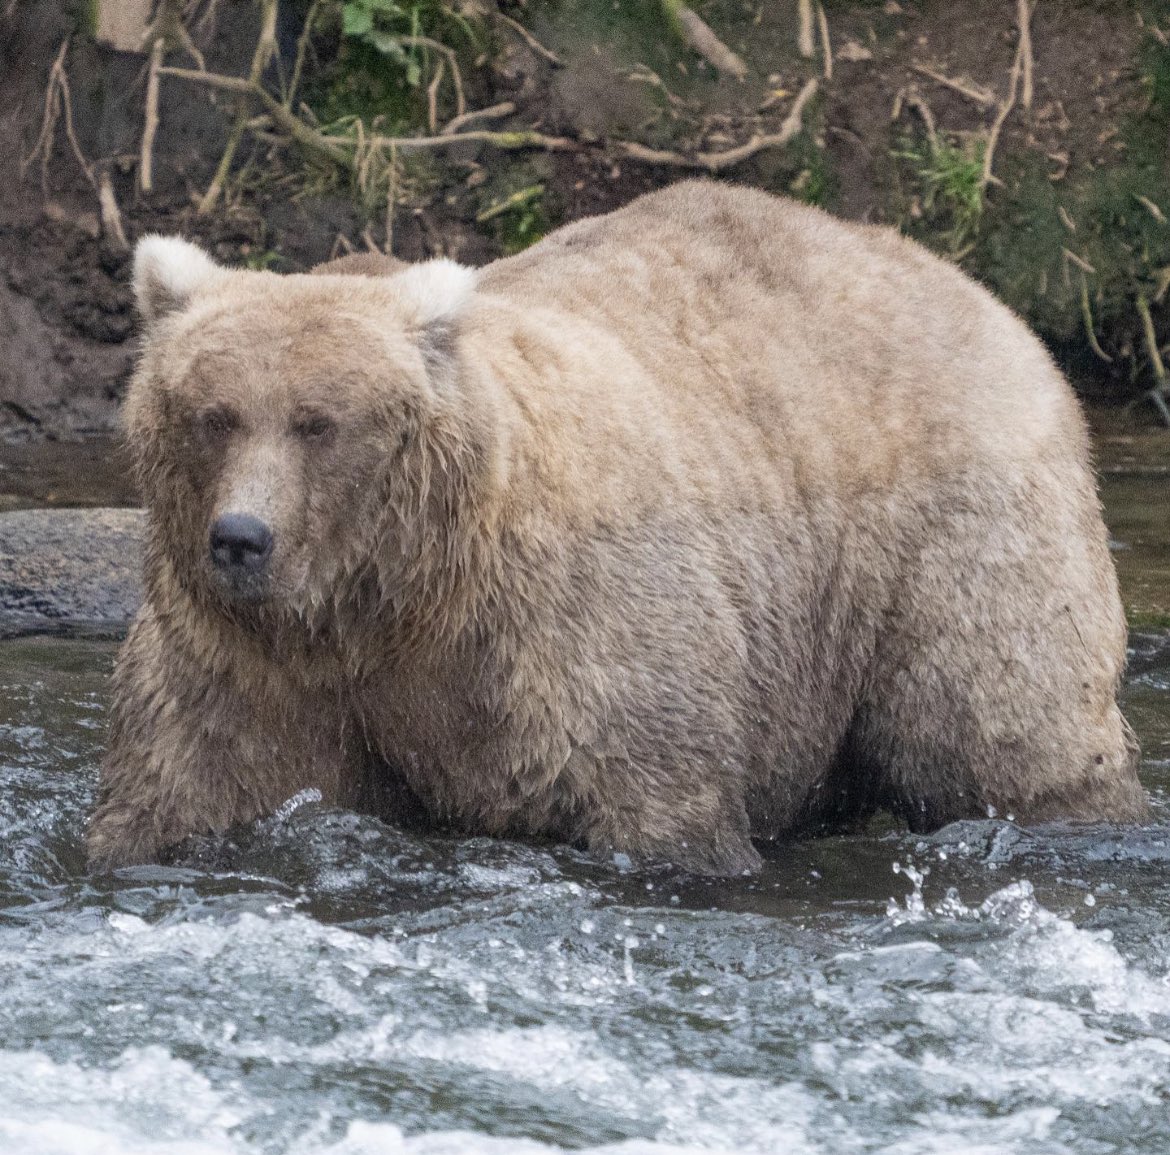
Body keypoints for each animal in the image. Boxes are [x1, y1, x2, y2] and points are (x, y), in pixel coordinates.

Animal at [86, 177, 1146, 875]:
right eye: (212, 413)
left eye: (319, 421)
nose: (241, 537)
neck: (395, 596)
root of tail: (977, 291)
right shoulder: (251, 660)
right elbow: (191, 783)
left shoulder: (568, 628)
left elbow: (653, 792)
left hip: (951, 531)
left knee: (999, 723)